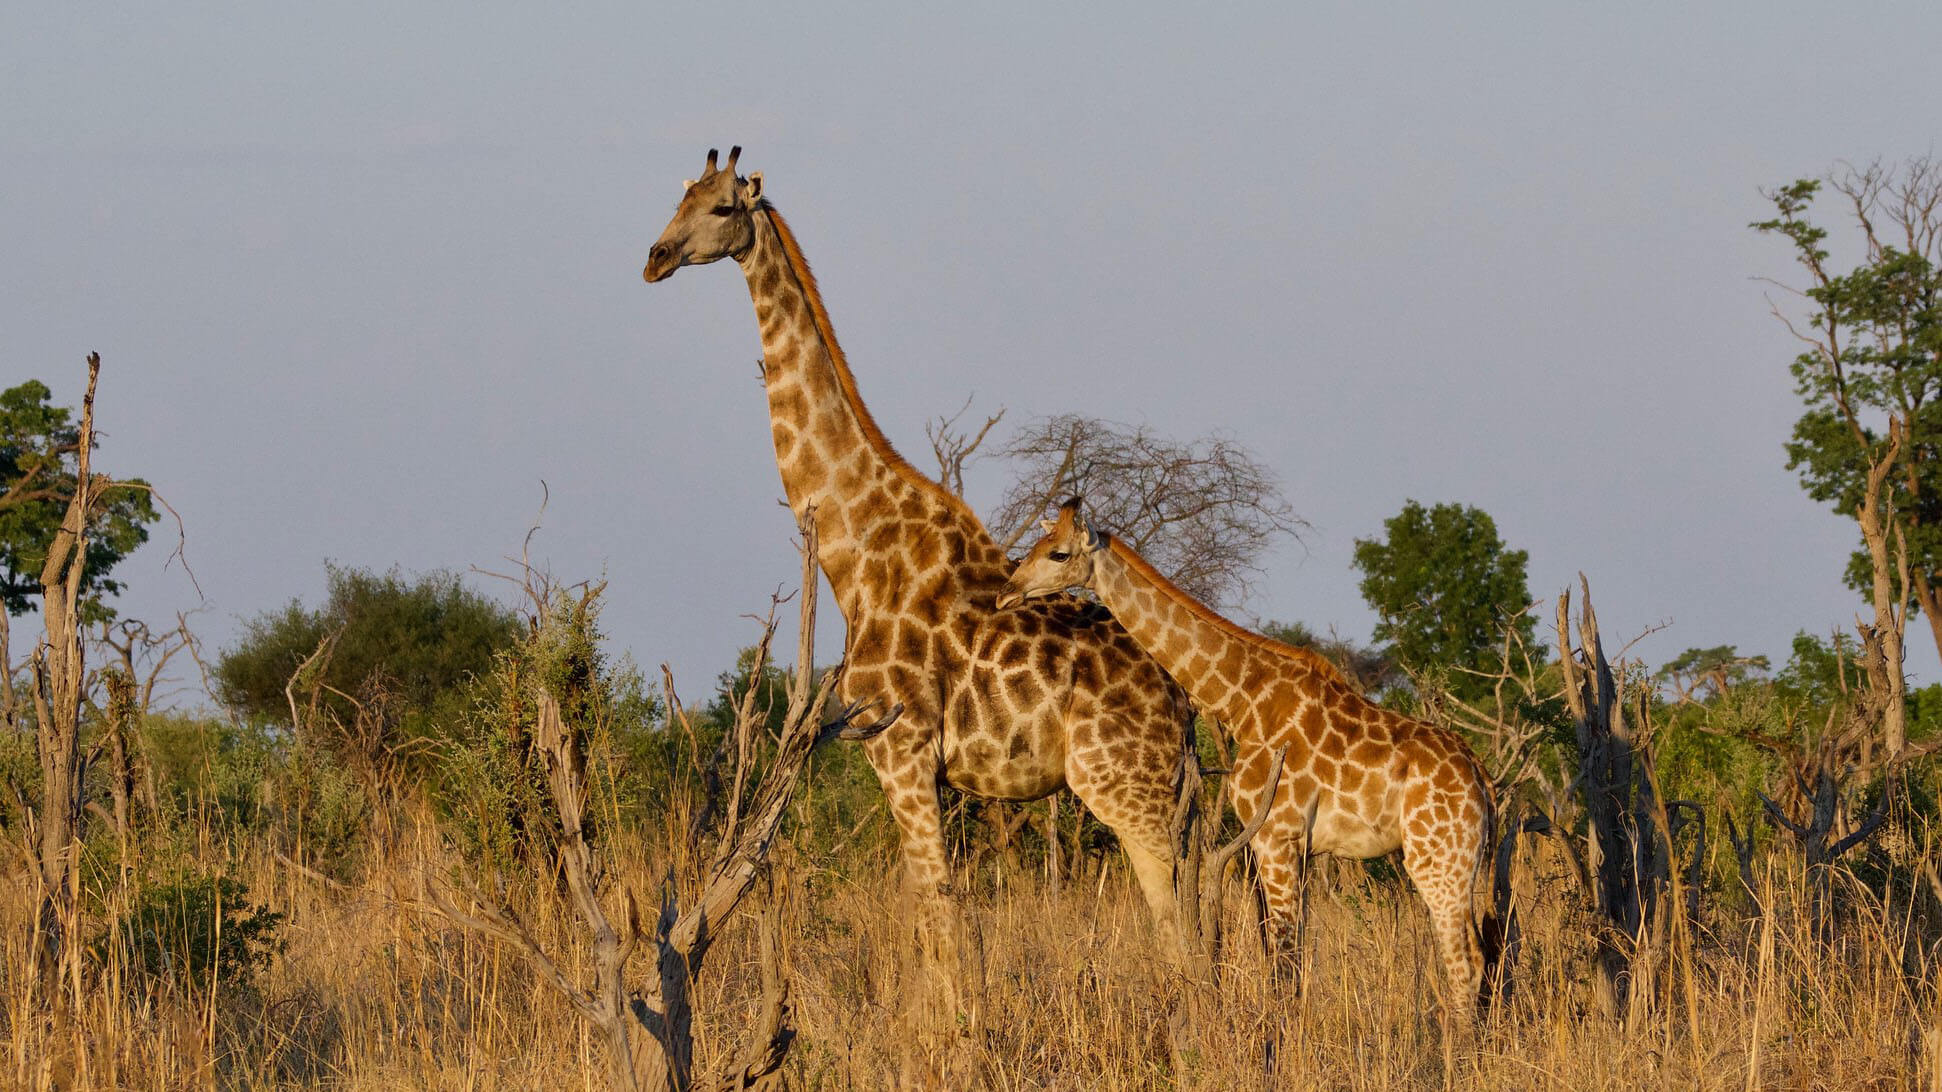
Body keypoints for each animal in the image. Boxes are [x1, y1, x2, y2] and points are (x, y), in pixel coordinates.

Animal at [644, 146, 1188, 967]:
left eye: (722, 207)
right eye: (679, 197)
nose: (656, 257)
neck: (857, 555)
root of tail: (1183, 706)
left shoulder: (899, 751)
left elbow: (940, 911)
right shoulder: (907, 764)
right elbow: (926, 909)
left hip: (1129, 793)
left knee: (1178, 917)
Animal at [1002, 497, 1499, 1018]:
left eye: (1057, 553)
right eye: (1036, 544)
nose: (1007, 592)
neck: (1243, 701)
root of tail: (1482, 780)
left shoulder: (1276, 837)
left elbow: (1284, 963)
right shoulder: (1294, 846)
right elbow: (1292, 958)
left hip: (1435, 860)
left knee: (1464, 963)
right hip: (1461, 864)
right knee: (1482, 956)